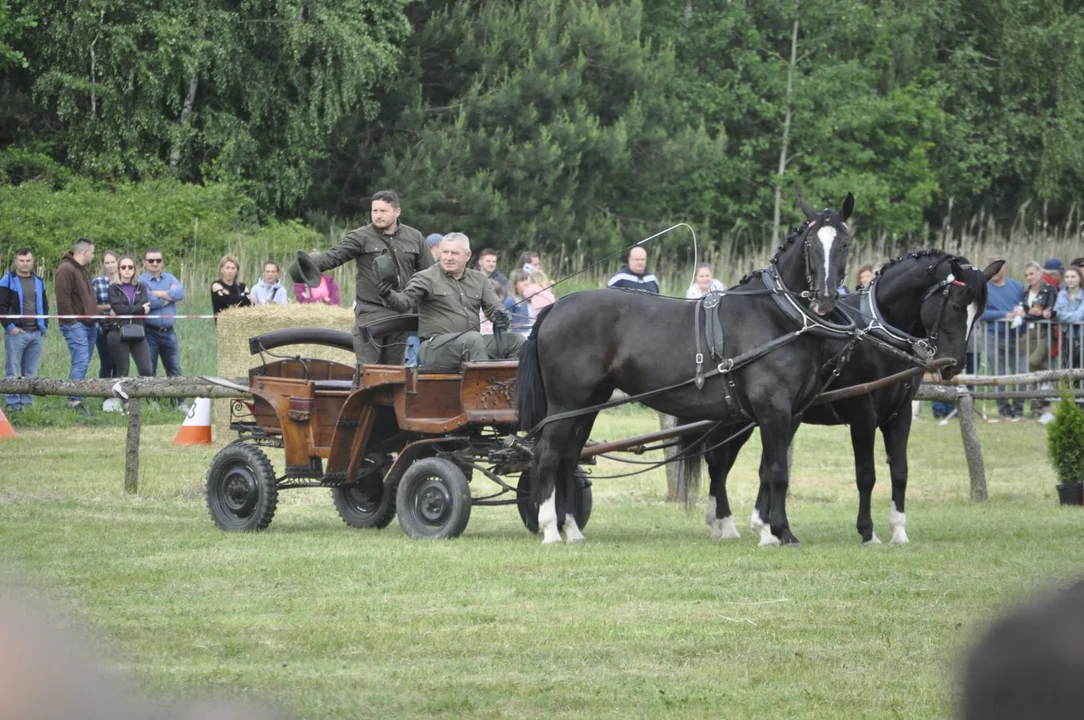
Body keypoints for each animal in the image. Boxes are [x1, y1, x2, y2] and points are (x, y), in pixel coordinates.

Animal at [515, 194, 854, 542]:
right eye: (811, 244)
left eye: (845, 243)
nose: (825, 298)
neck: (777, 314)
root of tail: (557, 306)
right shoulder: (773, 408)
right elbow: (777, 471)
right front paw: (780, 532)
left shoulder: (789, 413)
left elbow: (765, 470)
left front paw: (768, 529)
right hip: (565, 403)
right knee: (547, 456)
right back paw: (550, 529)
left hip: (589, 404)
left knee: (569, 457)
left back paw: (571, 528)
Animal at [698, 250, 1001, 542]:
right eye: (956, 306)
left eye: (979, 313)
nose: (954, 365)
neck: (877, 334)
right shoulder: (862, 414)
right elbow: (866, 474)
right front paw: (867, 531)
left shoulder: (900, 413)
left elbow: (900, 471)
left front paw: (898, 531)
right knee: (718, 462)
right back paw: (724, 523)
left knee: (746, 466)